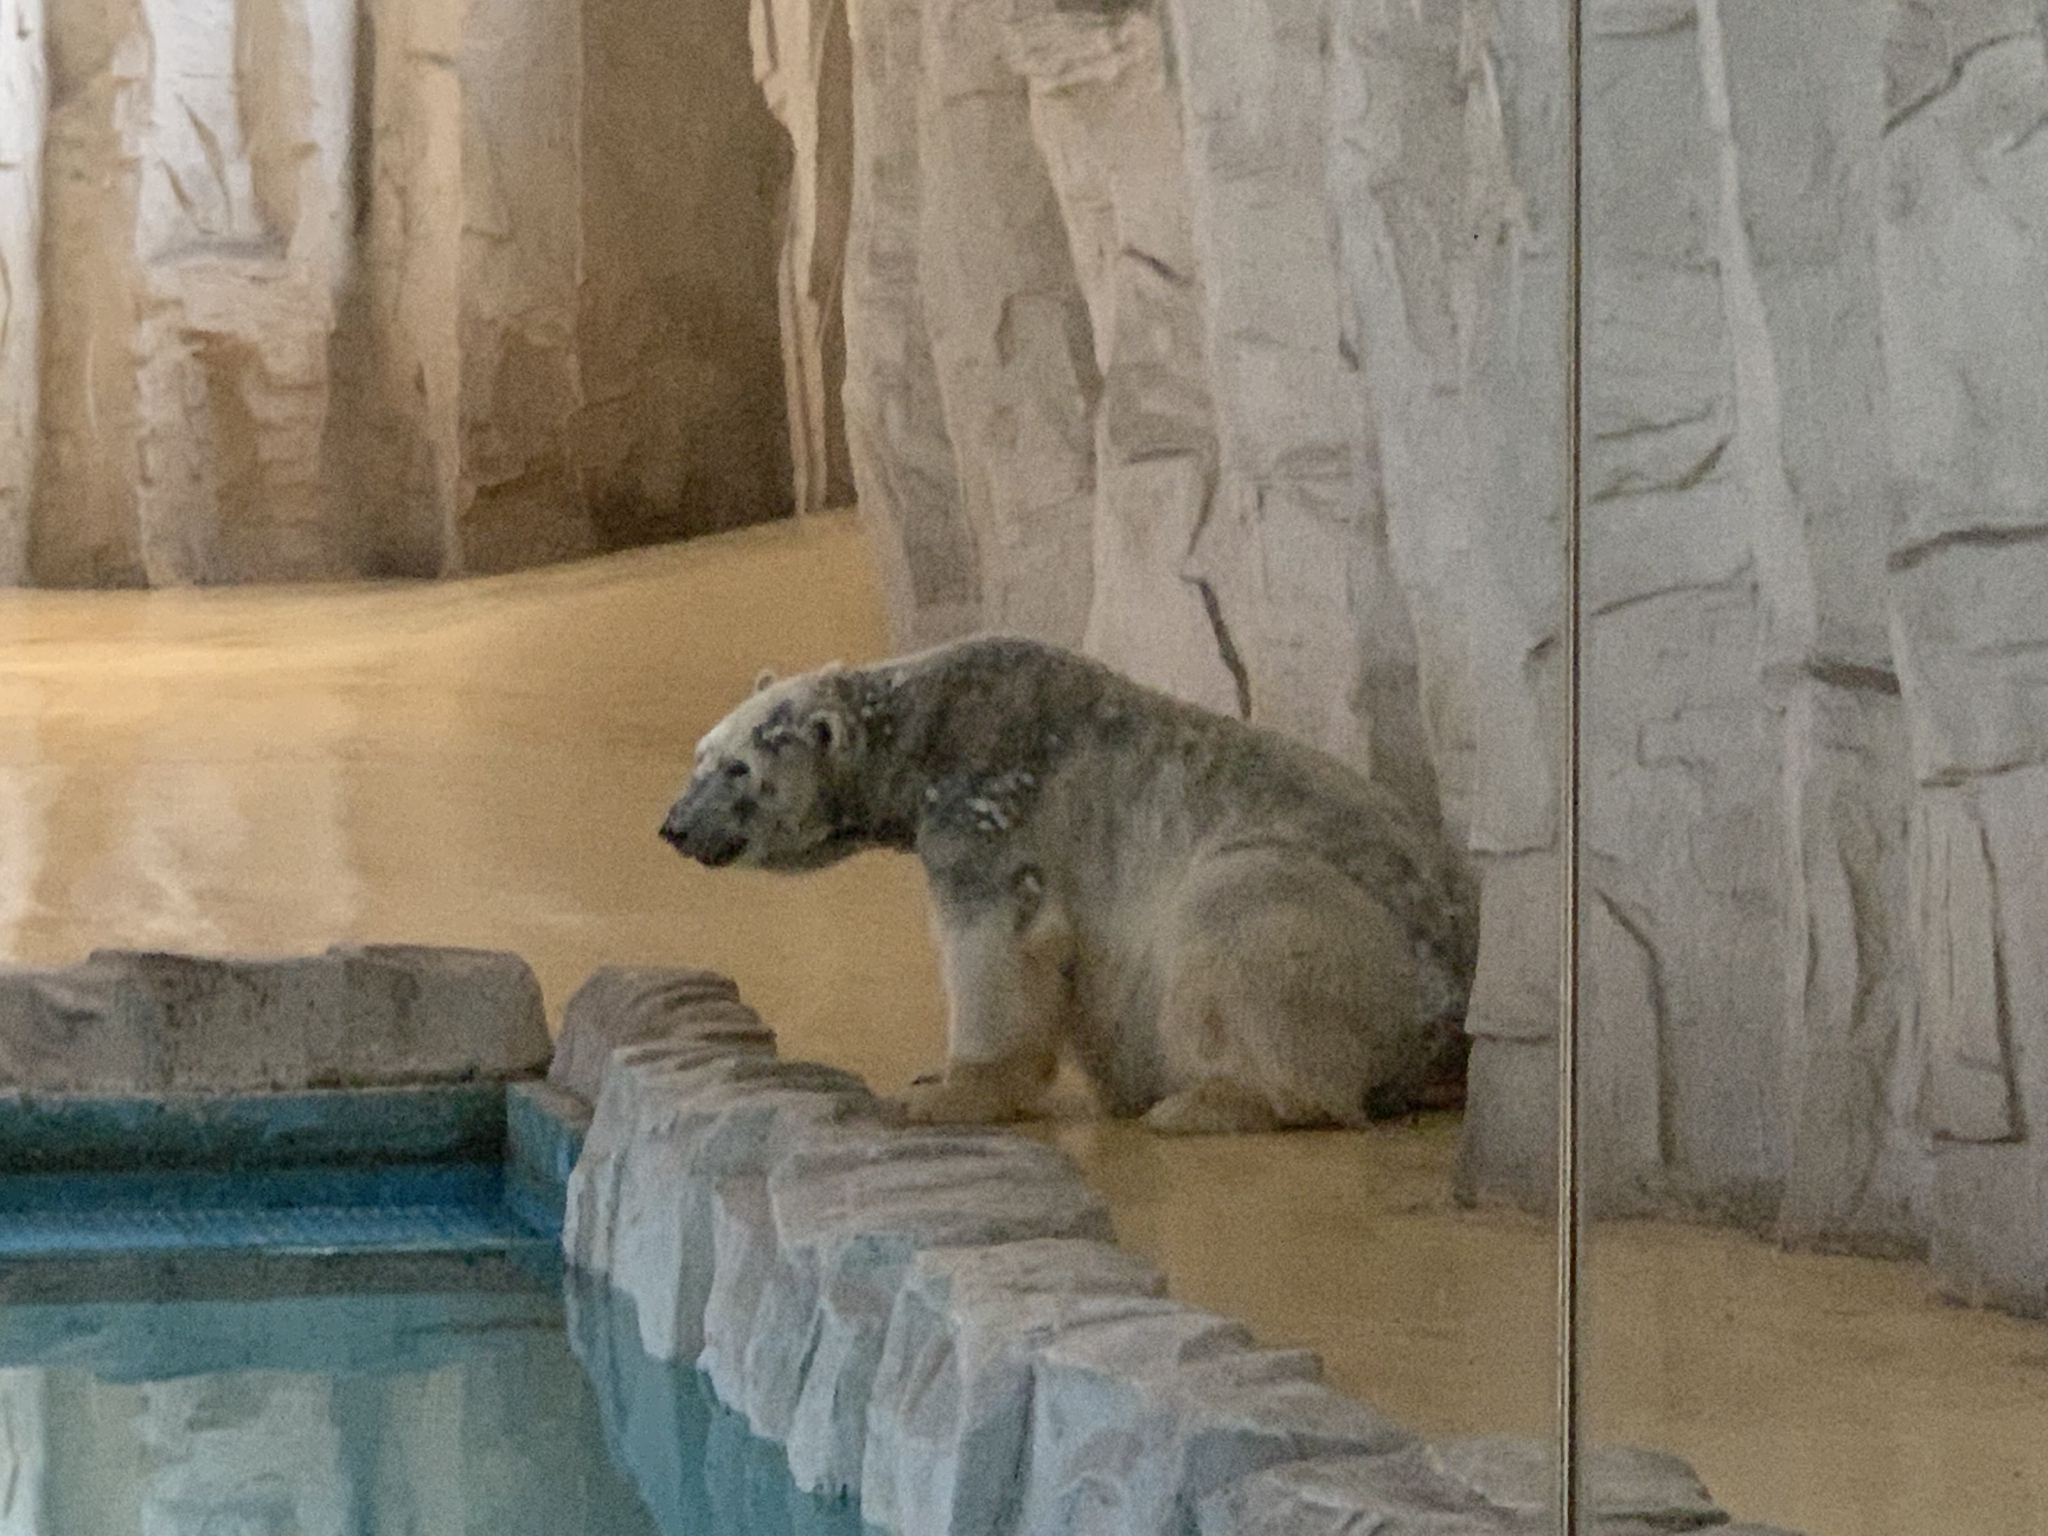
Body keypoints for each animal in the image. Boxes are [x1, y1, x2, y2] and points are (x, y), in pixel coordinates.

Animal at [659, 637, 1476, 1134]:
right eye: (700, 755)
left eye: (739, 768)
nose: (674, 826)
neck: (930, 726)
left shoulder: (993, 804)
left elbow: (998, 949)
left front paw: (944, 1094)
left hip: (1378, 964)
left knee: (1238, 901)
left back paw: (1213, 1100)